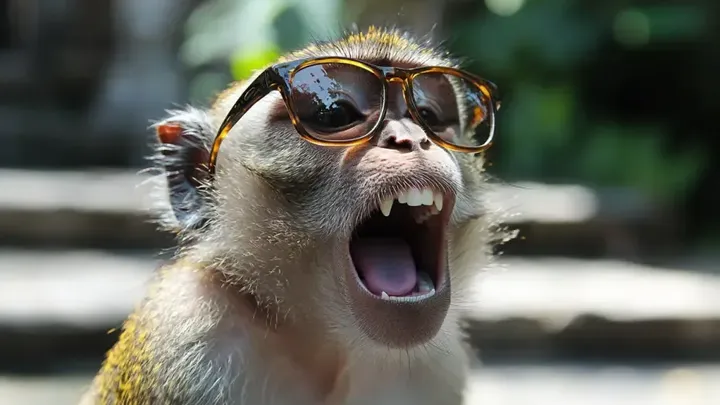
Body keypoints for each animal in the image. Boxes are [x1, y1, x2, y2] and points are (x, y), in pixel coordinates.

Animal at [80, 26, 503, 405]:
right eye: (334, 113)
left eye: (430, 115)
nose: (412, 139)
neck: (326, 350)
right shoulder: (187, 335)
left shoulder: (441, 369)